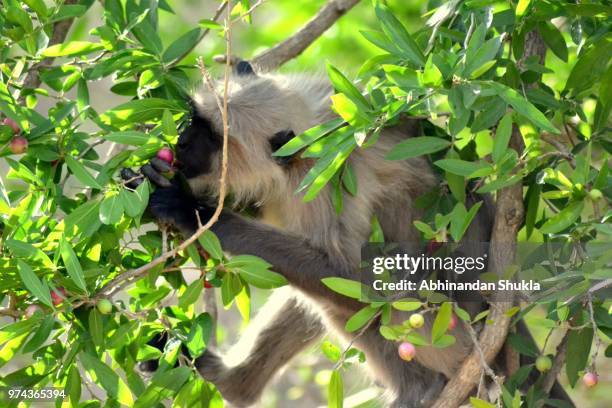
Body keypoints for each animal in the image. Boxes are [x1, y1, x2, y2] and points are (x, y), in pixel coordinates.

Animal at [124, 61, 572, 408]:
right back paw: (234, 385)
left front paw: (191, 211)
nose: (182, 142)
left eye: (214, 140)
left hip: (457, 332)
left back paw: (422, 390)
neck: (310, 132)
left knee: (372, 293)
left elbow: (349, 273)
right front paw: (150, 176)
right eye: (195, 122)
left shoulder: (327, 177)